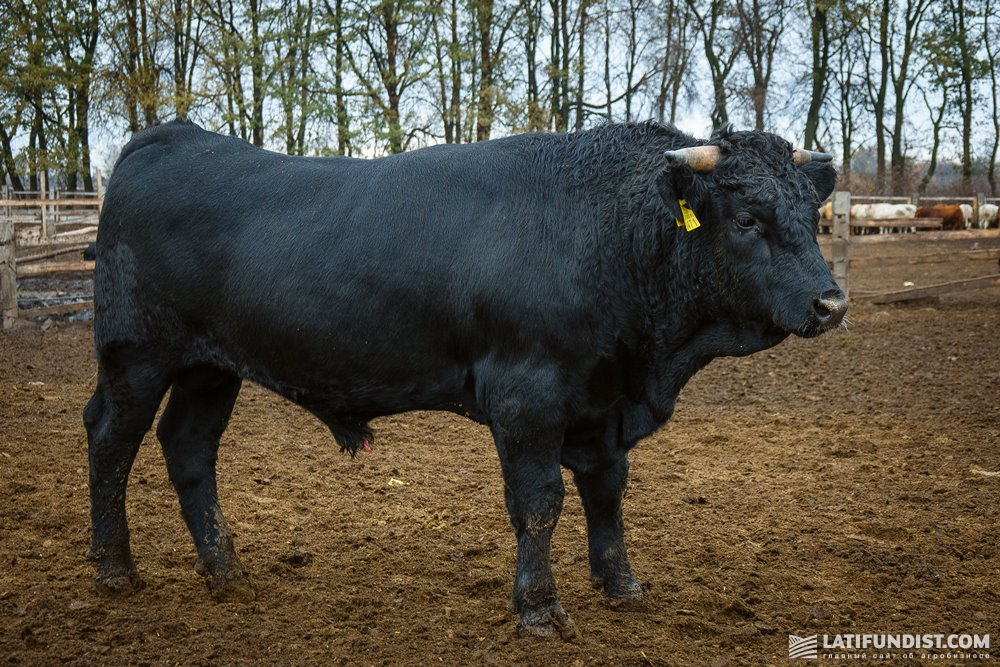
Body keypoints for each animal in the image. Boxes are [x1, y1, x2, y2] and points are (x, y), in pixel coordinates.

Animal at [86, 120, 848, 640]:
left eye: (811, 216)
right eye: (748, 218)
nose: (832, 304)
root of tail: (172, 135)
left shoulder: (602, 406)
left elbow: (606, 495)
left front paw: (621, 584)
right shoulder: (527, 399)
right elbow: (540, 503)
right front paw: (539, 609)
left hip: (210, 368)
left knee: (189, 449)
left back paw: (225, 570)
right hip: (136, 355)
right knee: (111, 441)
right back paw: (113, 568)